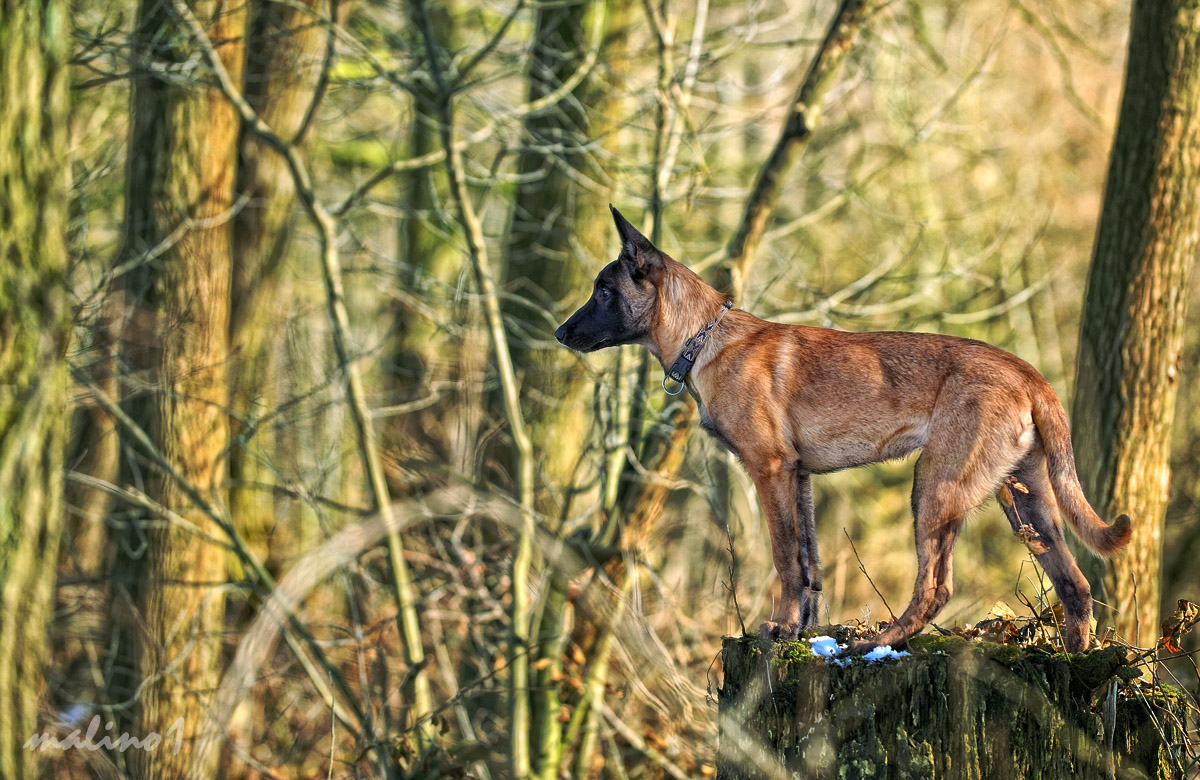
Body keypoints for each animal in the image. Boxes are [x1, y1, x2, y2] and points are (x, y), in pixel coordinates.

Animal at [556, 206, 1128, 648]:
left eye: (604, 291)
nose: (559, 333)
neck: (706, 336)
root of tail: (1029, 373)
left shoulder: (771, 470)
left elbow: (786, 558)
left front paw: (780, 630)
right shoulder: (799, 478)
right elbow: (810, 566)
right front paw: (802, 633)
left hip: (935, 486)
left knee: (936, 586)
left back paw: (882, 643)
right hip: (1025, 498)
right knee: (1075, 585)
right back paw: (1077, 658)